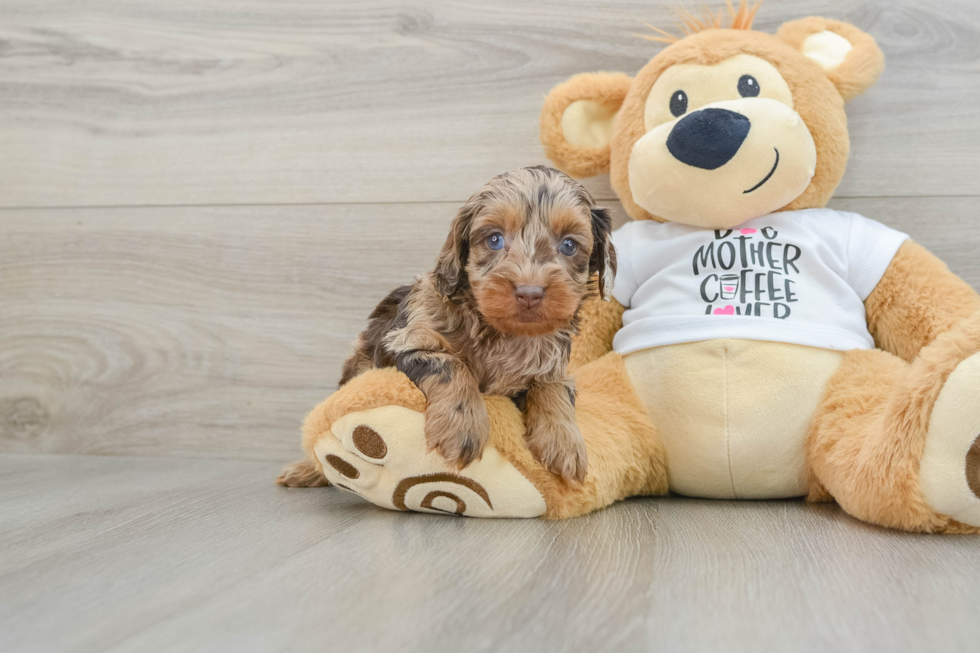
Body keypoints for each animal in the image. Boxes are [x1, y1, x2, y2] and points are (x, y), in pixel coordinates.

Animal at [278, 166, 612, 486]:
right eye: (494, 239)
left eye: (568, 245)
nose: (529, 292)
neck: (501, 333)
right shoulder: (405, 340)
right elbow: (451, 364)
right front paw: (462, 428)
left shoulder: (553, 365)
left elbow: (554, 386)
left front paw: (564, 442)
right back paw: (306, 471)